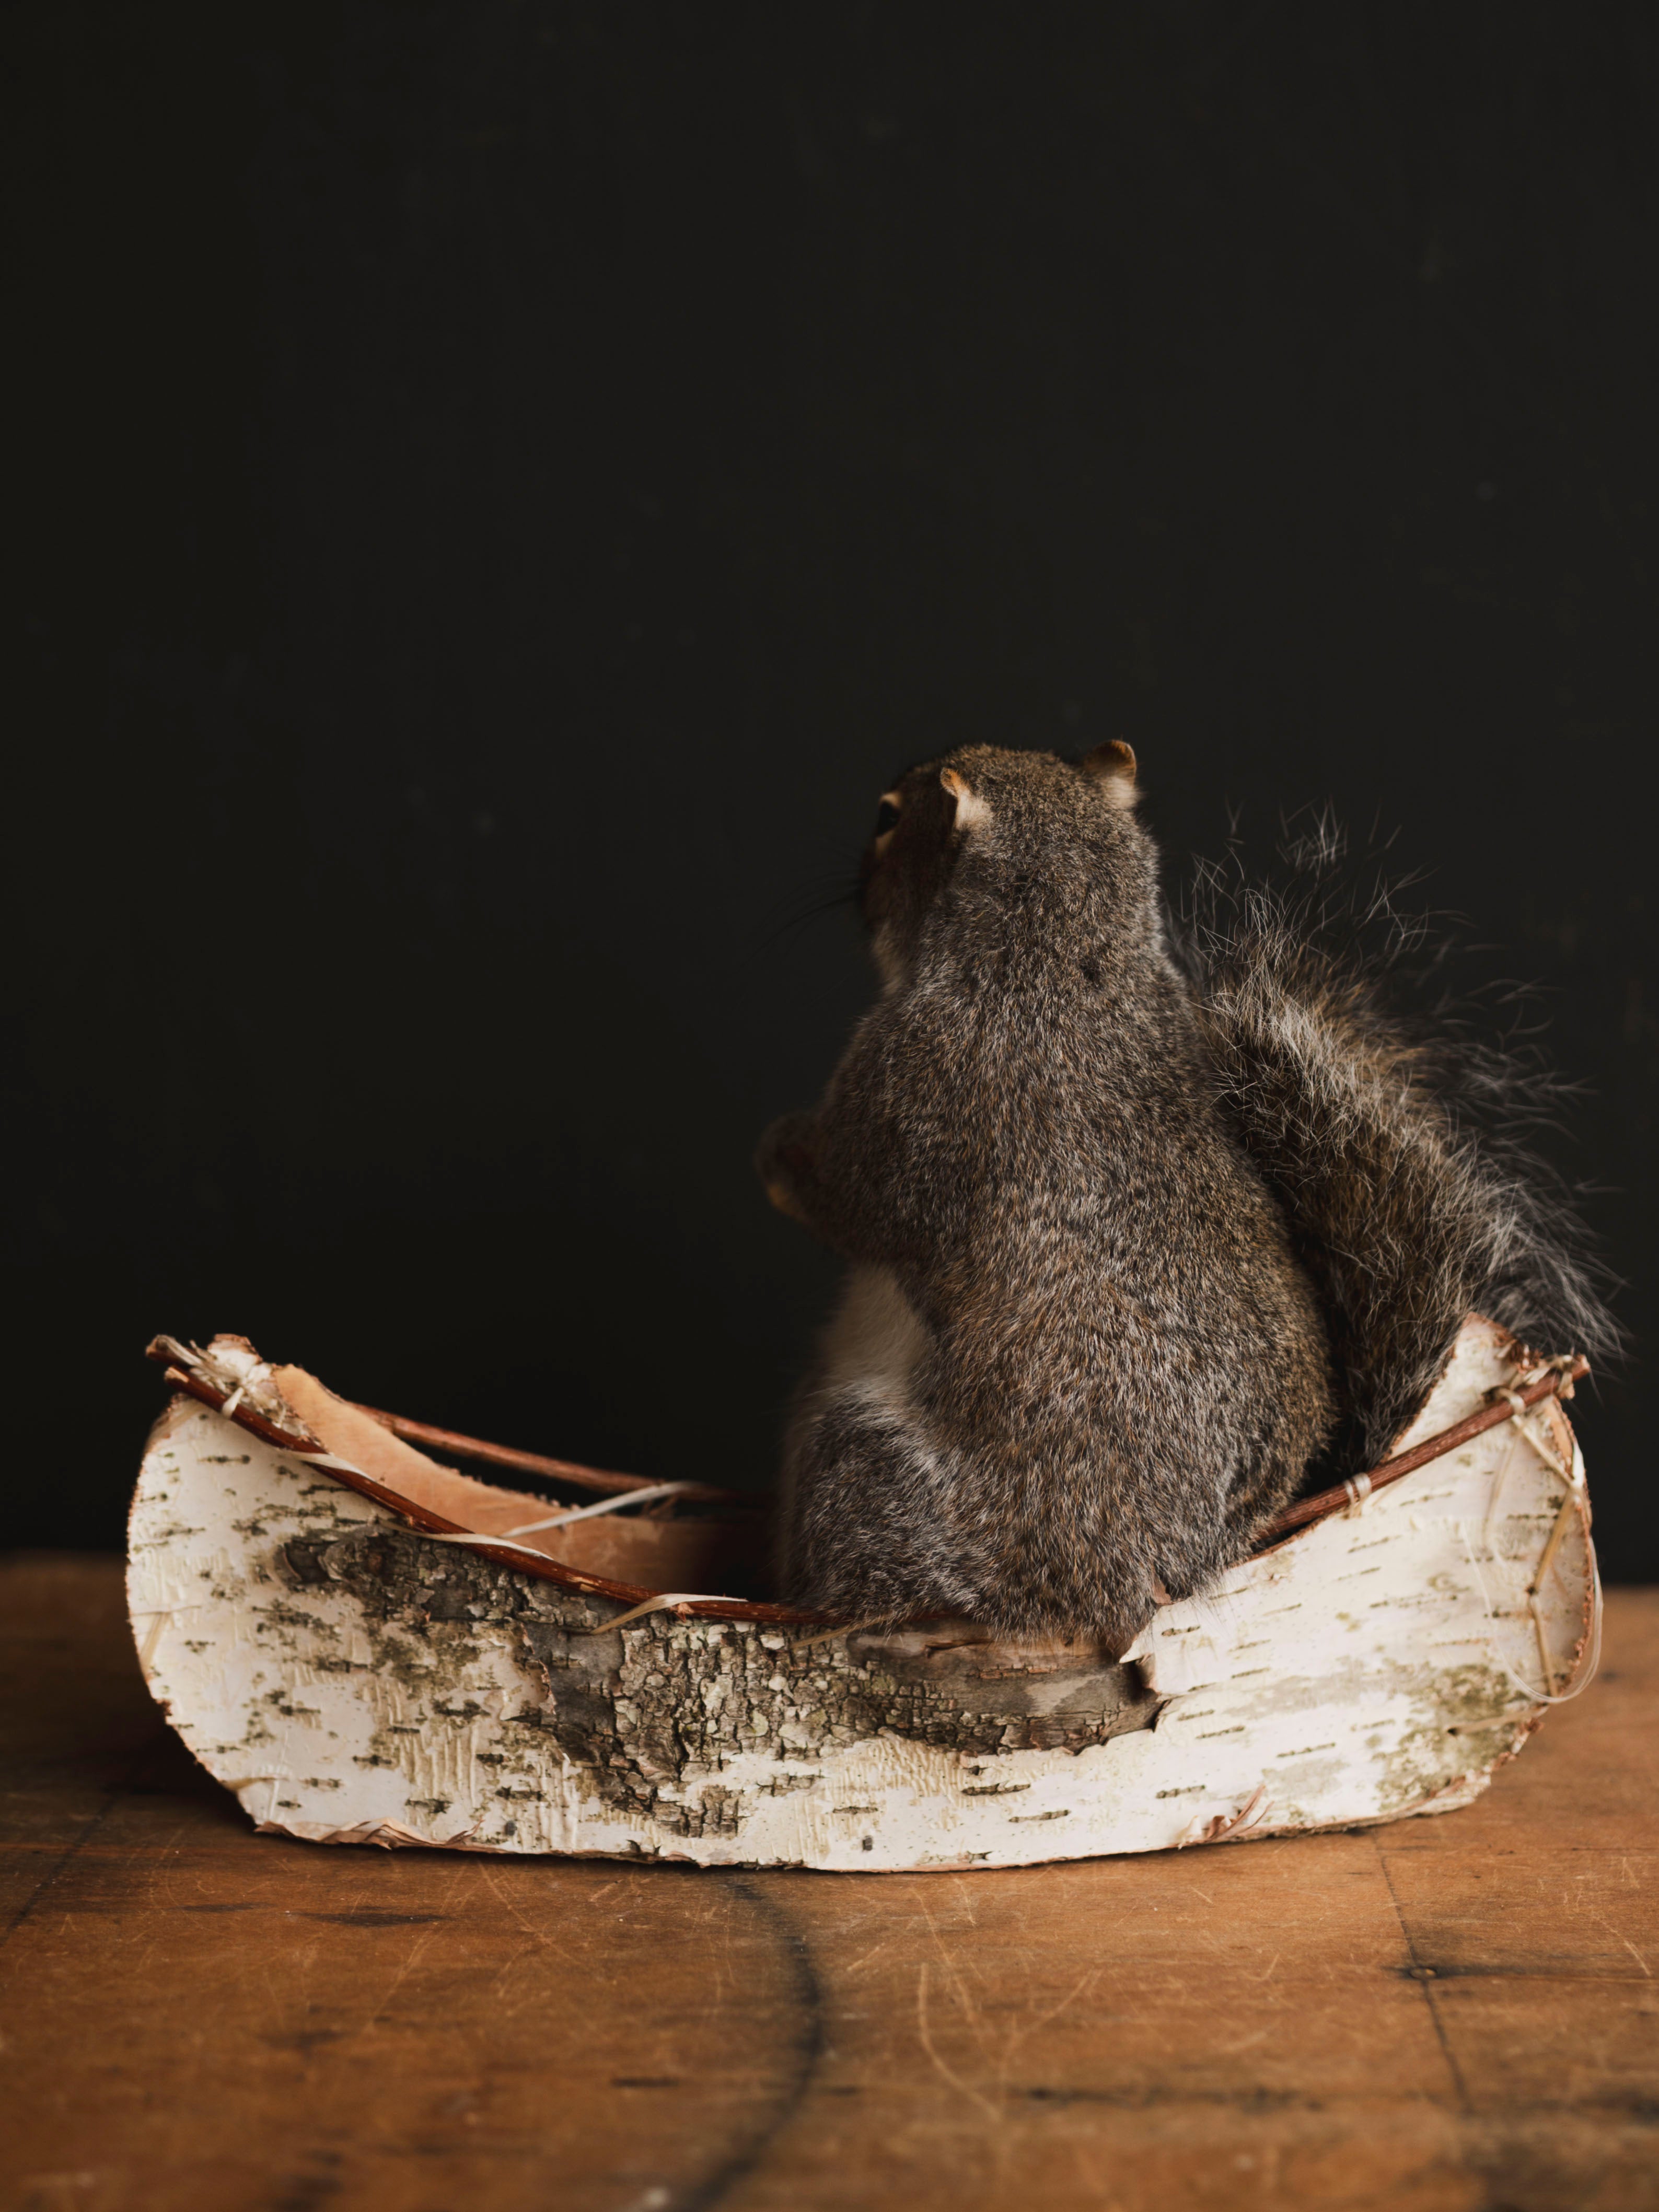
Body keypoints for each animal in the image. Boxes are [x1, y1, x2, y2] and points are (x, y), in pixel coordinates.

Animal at [758, 743, 1615, 1645]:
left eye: (887, 817)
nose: (857, 877)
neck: (1066, 959)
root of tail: (1160, 1577)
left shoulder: (904, 1088)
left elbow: (842, 1195)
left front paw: (775, 1151)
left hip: (881, 1481)